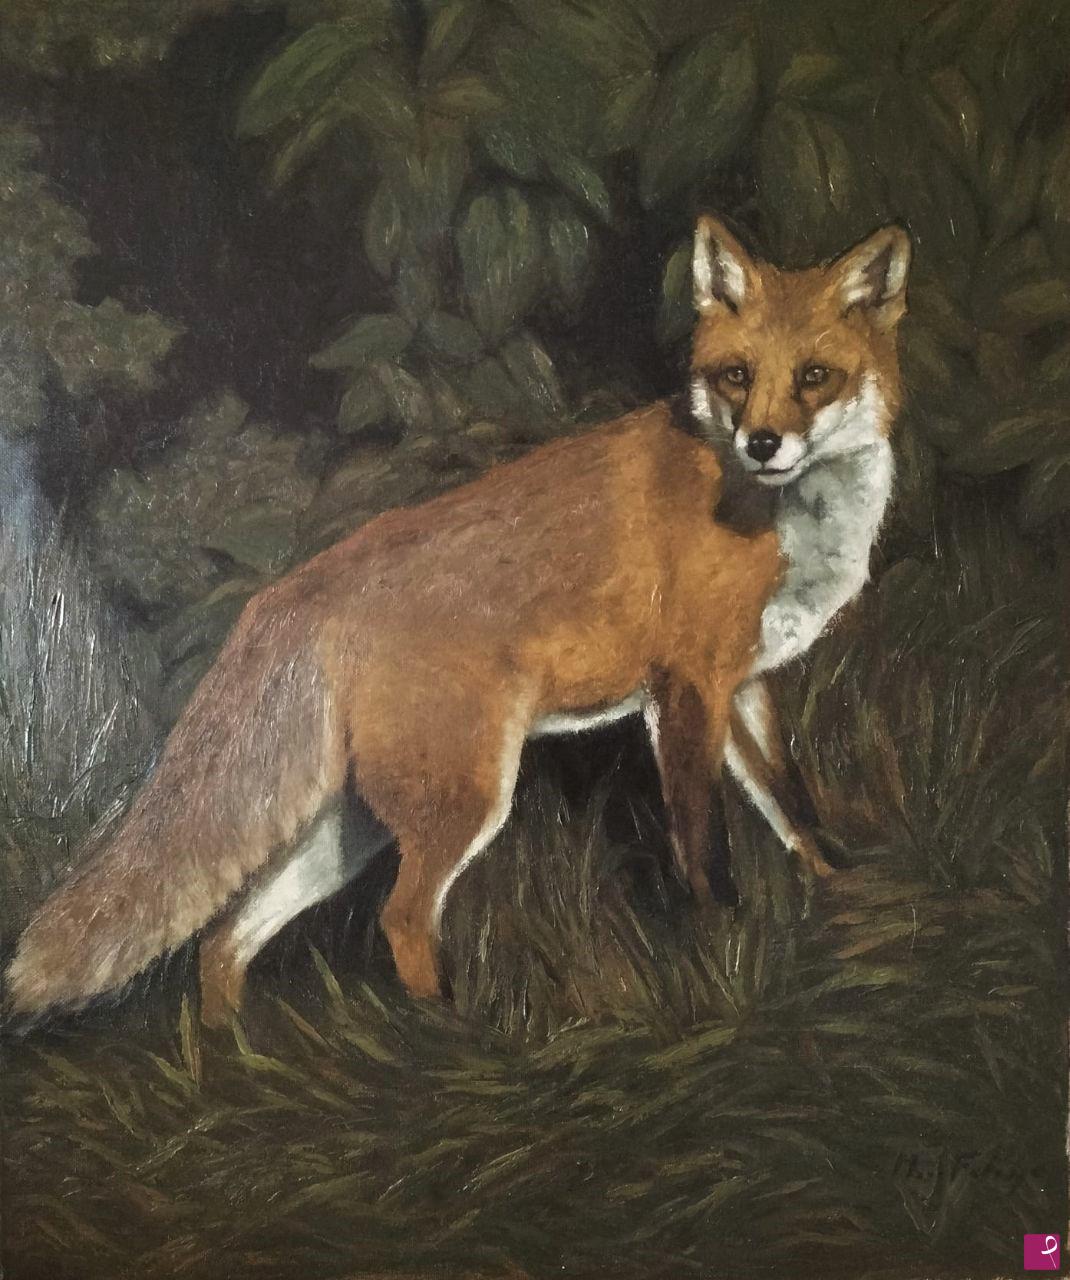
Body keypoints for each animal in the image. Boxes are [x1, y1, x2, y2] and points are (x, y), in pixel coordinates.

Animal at [5, 215, 910, 1028]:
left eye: (815, 376)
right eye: (735, 375)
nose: (762, 443)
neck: (783, 519)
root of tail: (292, 589)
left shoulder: (745, 683)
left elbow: (793, 806)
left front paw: (843, 898)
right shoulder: (687, 687)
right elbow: (703, 845)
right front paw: (721, 942)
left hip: (353, 827)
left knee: (225, 937)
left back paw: (232, 1061)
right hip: (463, 797)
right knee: (398, 919)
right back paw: (454, 1039)